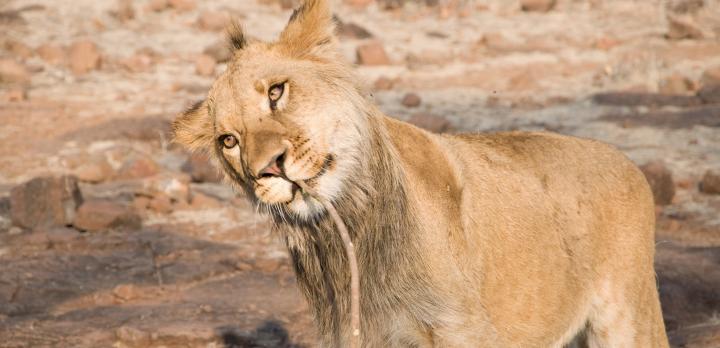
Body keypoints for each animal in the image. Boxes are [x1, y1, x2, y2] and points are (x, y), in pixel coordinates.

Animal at [173, 1, 668, 346]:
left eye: (276, 92)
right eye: (229, 141)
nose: (267, 168)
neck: (351, 225)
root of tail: (623, 159)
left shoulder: (462, 330)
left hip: (629, 320)